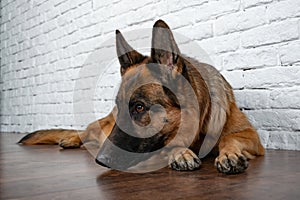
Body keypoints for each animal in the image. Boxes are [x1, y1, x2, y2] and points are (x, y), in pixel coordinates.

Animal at [18, 19, 264, 174]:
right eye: (121, 106)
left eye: (139, 107)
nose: (101, 161)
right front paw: (180, 153)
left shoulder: (251, 136)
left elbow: (228, 138)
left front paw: (229, 154)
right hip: (101, 125)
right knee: (85, 131)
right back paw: (71, 139)